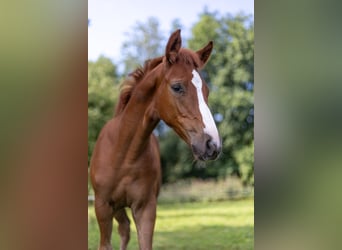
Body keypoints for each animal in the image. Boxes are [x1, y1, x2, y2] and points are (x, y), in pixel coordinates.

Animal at [89, 29, 220, 250]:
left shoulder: (146, 209)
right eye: (177, 87)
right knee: (124, 229)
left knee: (125, 229)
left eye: (206, 91)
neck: (124, 154)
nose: (213, 145)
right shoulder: (102, 207)